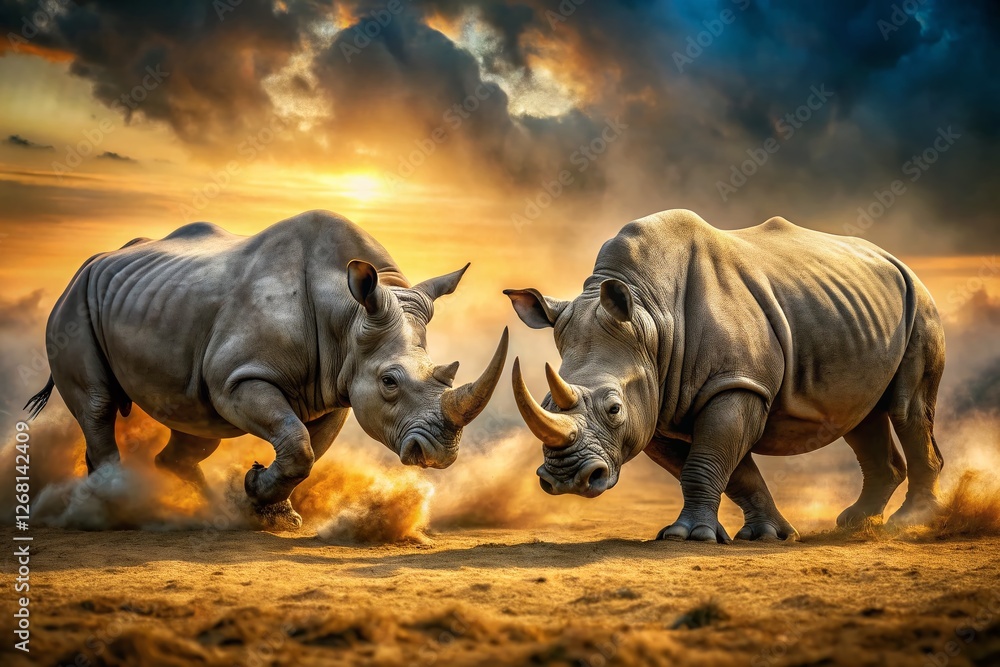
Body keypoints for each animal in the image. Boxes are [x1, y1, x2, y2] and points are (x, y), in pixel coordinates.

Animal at [25, 210, 508, 528]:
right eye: (389, 381)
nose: (440, 452)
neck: (348, 314)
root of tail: (89, 264)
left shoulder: (337, 386)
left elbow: (308, 448)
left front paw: (269, 510)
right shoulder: (239, 377)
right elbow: (297, 444)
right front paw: (259, 493)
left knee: (194, 426)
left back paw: (213, 511)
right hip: (74, 302)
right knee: (99, 404)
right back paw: (114, 505)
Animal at [505, 209, 945, 542]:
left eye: (613, 409)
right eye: (544, 403)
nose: (565, 479)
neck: (651, 321)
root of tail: (894, 259)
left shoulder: (736, 383)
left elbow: (706, 461)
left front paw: (687, 537)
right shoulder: (659, 406)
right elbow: (732, 471)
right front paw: (772, 535)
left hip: (919, 302)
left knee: (906, 409)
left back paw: (911, 523)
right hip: (856, 311)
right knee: (858, 417)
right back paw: (855, 523)